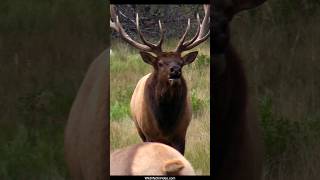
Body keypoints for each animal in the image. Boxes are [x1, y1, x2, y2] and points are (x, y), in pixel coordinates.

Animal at [110, 5, 210, 155]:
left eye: (181, 63)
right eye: (160, 63)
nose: (175, 70)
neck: (165, 122)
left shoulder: (181, 134)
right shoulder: (149, 134)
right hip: (140, 130)